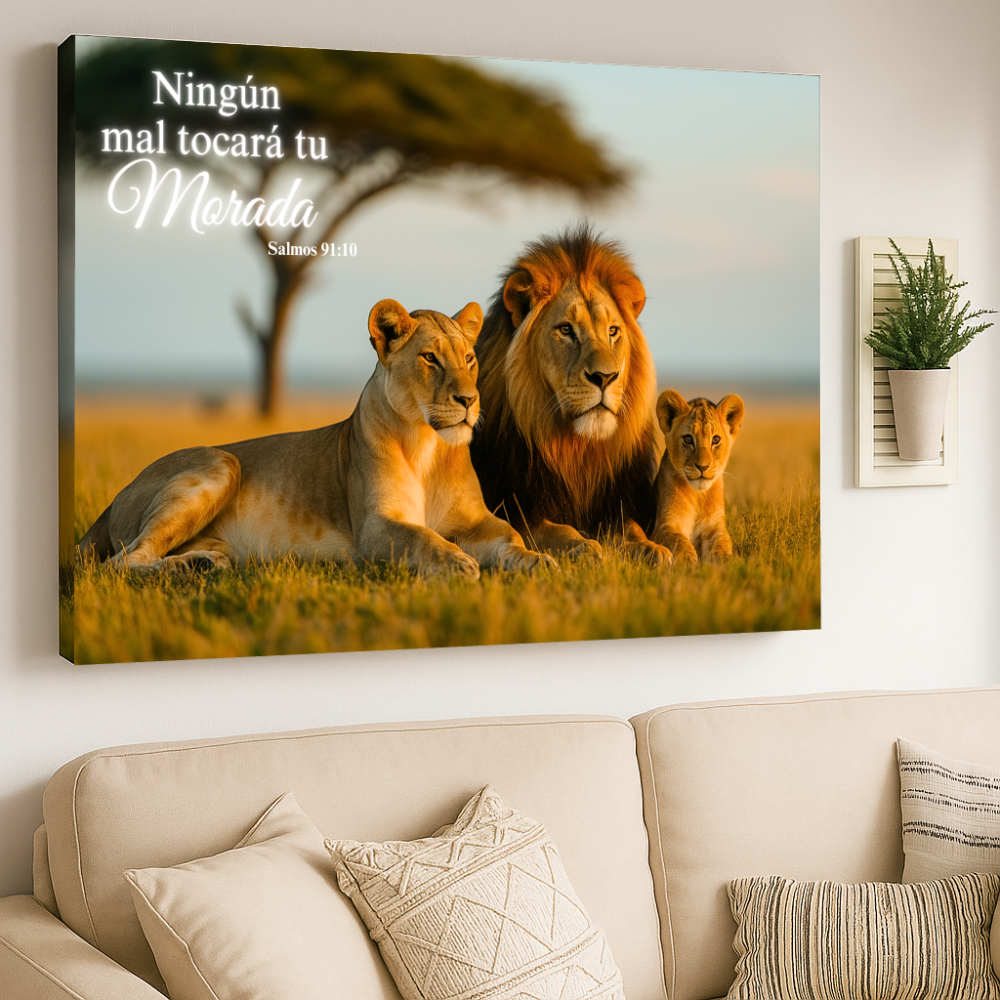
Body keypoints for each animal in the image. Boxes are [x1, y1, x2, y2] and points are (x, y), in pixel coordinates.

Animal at [77, 299, 555, 580]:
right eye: (430, 358)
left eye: (469, 358)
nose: (469, 400)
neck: (428, 445)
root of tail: (110, 503)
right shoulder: (376, 527)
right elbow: (424, 539)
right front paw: (457, 562)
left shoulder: (475, 521)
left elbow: (513, 538)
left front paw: (540, 561)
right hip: (221, 464)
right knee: (119, 563)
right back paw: (186, 570)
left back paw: (202, 563)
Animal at [469, 223, 669, 563]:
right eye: (566, 330)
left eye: (613, 331)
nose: (605, 377)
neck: (577, 451)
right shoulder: (517, 511)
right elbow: (557, 531)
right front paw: (585, 547)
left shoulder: (615, 504)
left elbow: (629, 531)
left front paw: (652, 549)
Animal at [651, 389, 745, 564]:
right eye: (688, 439)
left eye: (715, 439)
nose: (702, 467)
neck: (698, 496)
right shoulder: (664, 525)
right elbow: (678, 540)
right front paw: (688, 561)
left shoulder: (715, 526)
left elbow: (722, 542)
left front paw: (727, 560)